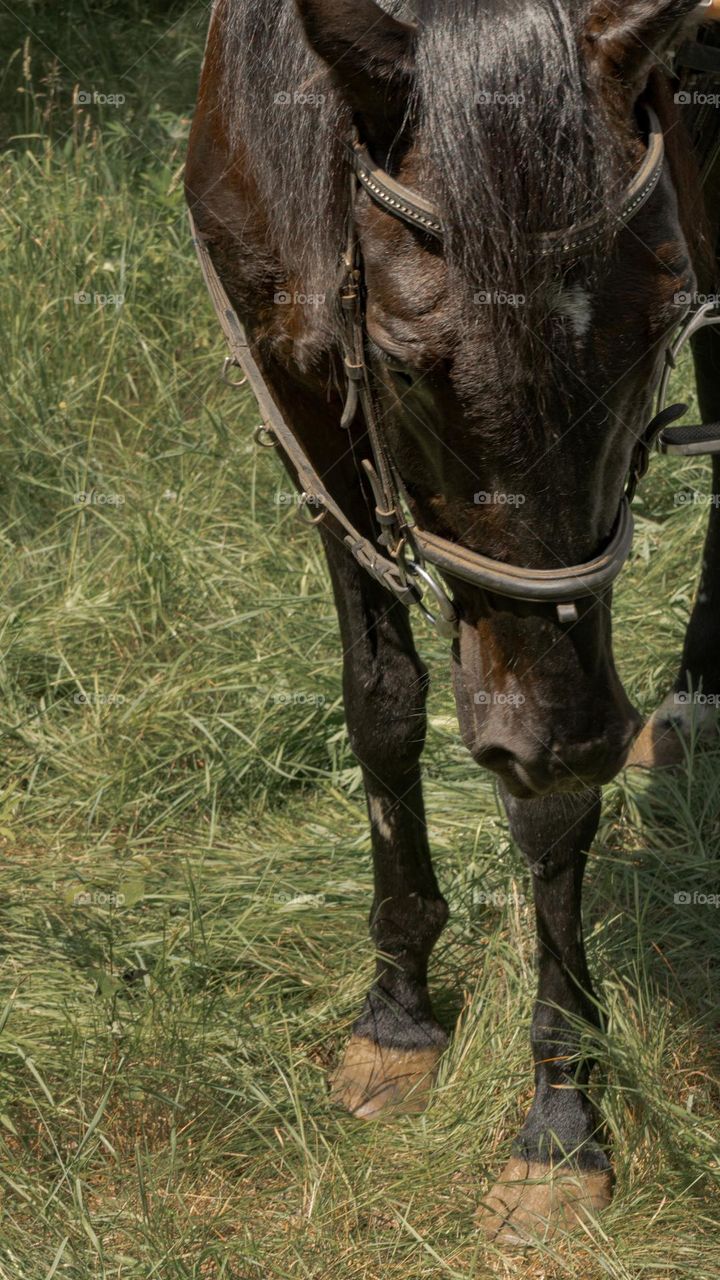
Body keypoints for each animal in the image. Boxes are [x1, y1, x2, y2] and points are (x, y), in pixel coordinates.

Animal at [185, 0, 720, 1245]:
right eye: (402, 366)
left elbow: (552, 804)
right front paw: (397, 1012)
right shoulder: (301, 399)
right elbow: (382, 704)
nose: (567, 733)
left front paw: (561, 1120)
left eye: (658, 327)